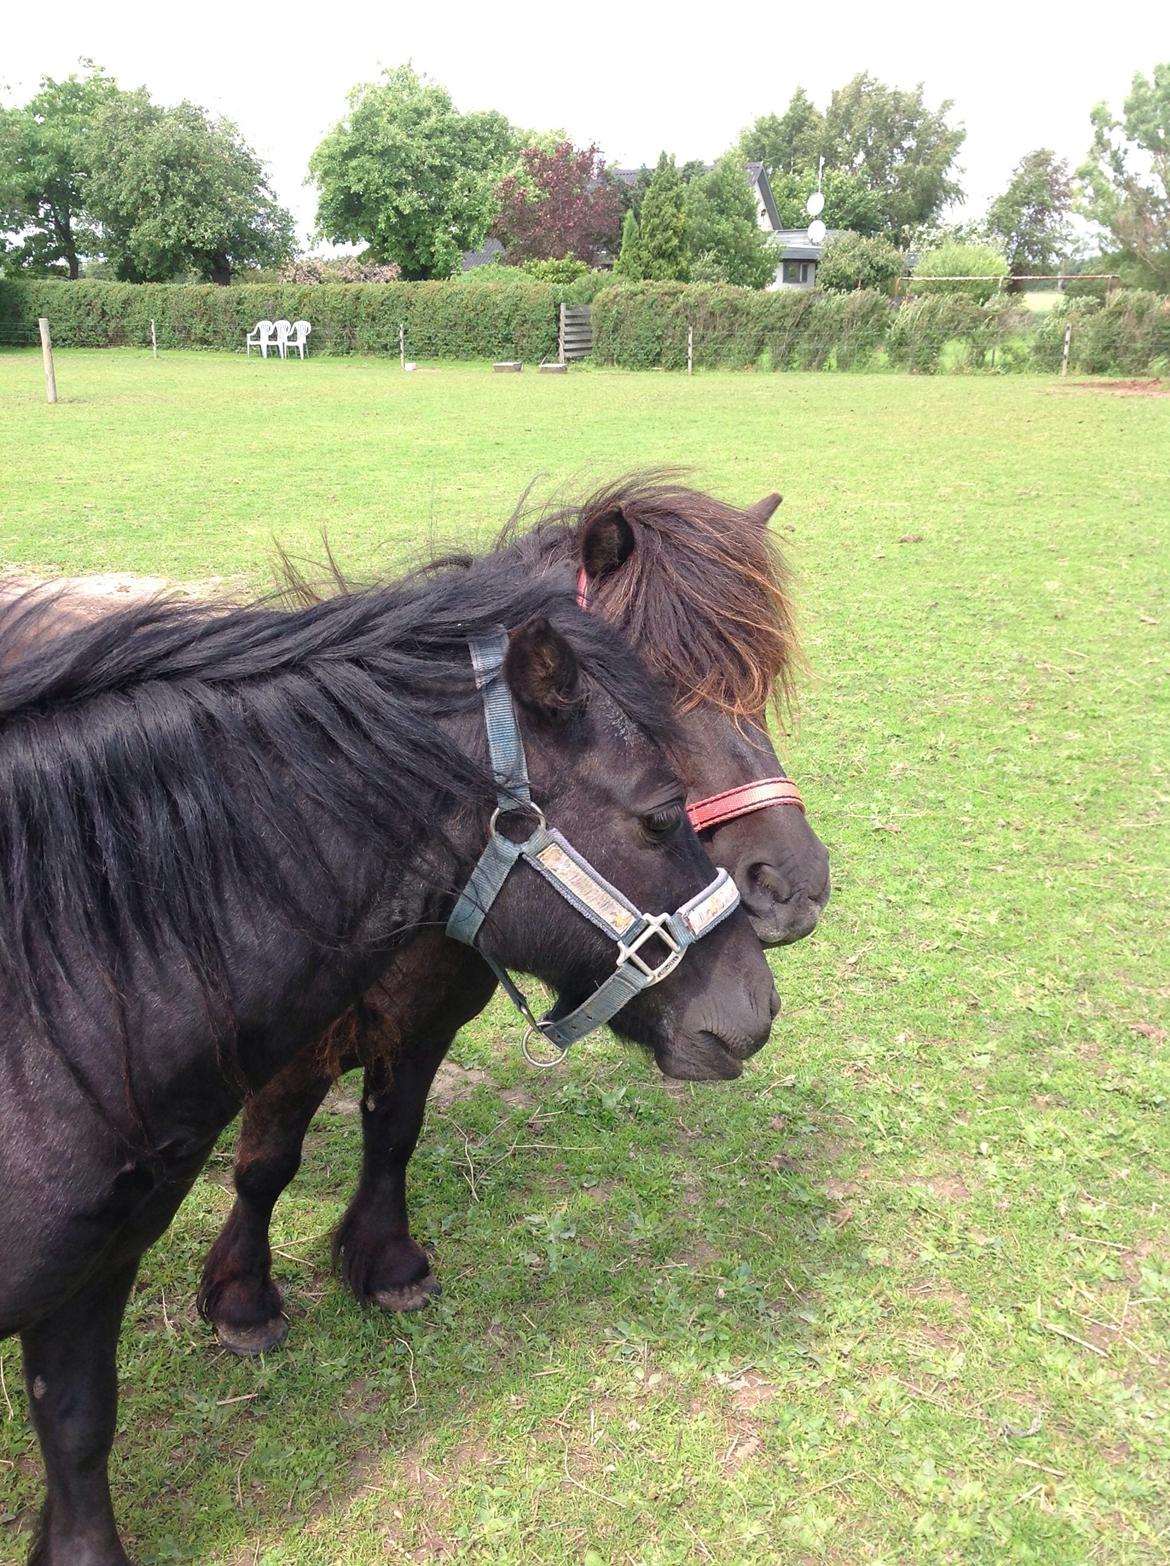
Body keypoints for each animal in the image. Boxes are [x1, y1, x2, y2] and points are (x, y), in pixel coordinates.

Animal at [2, 566, 786, 1566]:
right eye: (658, 811)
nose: (756, 1009)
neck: (48, 995)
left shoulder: (92, 1275)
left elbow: (77, 1427)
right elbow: (269, 1164)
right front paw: (247, 1302)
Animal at [202, 482, 826, 1353]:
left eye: (759, 684)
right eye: (653, 688)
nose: (796, 888)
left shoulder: (427, 1030)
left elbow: (394, 1133)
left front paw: (388, 1264)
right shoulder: (292, 1055)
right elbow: (265, 1165)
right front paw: (243, 1302)